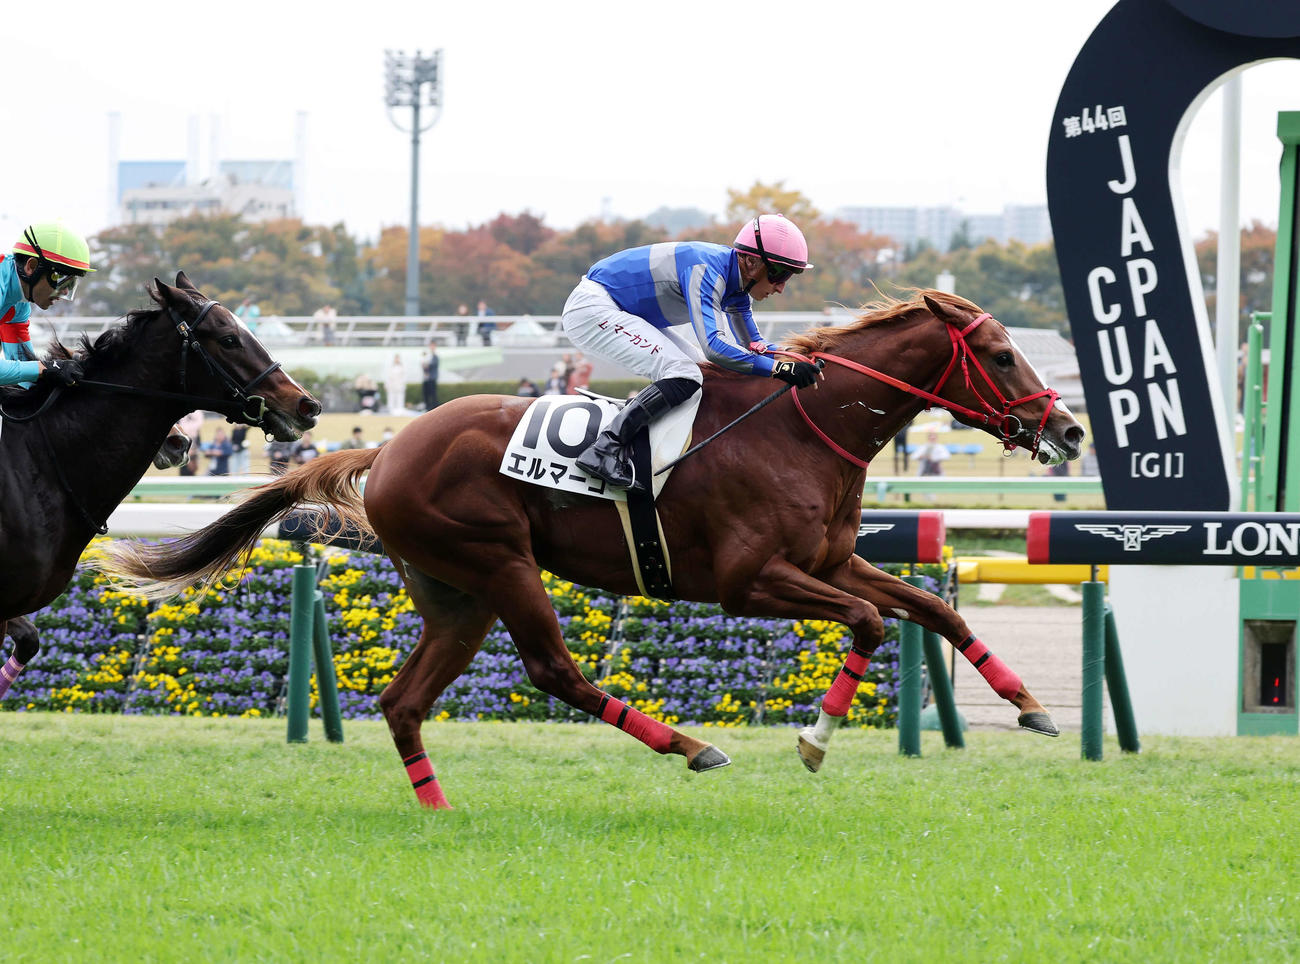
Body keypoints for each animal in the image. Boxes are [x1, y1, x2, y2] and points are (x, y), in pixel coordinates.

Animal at [96, 290, 1085, 808]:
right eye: (1001, 355)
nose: (1069, 429)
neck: (800, 428)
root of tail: (391, 447)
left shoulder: (832, 560)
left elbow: (934, 609)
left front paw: (1033, 706)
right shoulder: (749, 581)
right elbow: (872, 623)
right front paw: (812, 741)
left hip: (458, 594)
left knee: (404, 700)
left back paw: (438, 807)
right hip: (500, 563)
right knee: (555, 673)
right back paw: (689, 746)